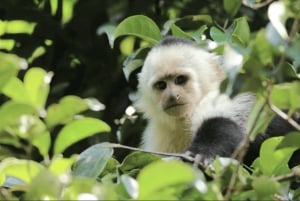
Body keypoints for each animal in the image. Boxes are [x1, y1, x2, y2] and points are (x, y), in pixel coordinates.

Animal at [136, 36, 300, 166]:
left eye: (180, 80)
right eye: (161, 85)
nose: (171, 96)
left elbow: (222, 123)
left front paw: (202, 153)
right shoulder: (159, 135)